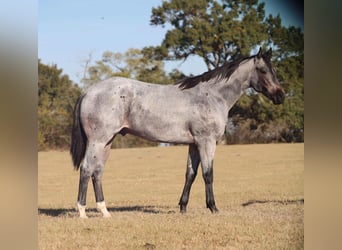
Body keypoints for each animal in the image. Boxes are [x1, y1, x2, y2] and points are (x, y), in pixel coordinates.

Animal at [69, 47, 284, 218]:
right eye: (263, 70)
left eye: (274, 70)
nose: (280, 96)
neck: (212, 96)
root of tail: (88, 91)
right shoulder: (206, 142)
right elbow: (208, 174)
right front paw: (213, 207)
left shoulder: (194, 144)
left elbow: (190, 174)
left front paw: (183, 207)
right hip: (98, 141)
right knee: (87, 169)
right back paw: (82, 212)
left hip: (107, 142)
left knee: (97, 172)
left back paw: (104, 211)